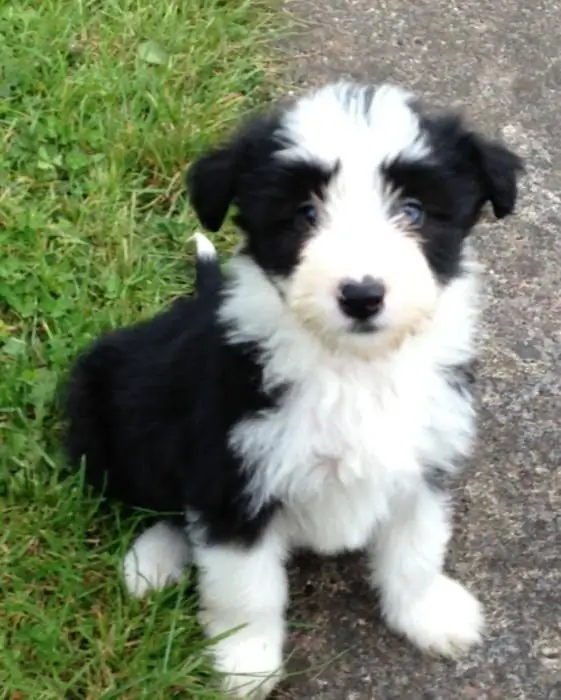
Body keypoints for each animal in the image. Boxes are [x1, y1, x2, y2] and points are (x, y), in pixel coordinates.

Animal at [64, 83, 520, 700]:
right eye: (305, 214)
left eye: (413, 211)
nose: (362, 295)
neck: (351, 368)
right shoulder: (234, 476)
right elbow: (248, 588)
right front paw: (245, 663)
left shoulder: (422, 460)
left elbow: (417, 548)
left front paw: (428, 615)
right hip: (109, 409)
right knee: (162, 504)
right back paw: (153, 560)